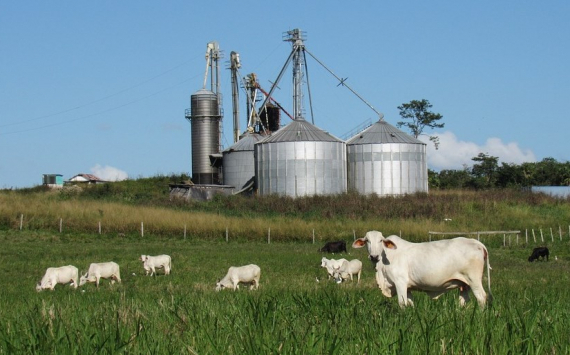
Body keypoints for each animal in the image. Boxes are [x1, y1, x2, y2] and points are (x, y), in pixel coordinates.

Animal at [350, 231, 488, 308]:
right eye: (367, 240)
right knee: (463, 301)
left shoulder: (400, 282)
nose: (374, 256)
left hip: (474, 280)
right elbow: (410, 303)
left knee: (482, 297)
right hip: (464, 284)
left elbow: (402, 303)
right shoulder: (408, 287)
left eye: (380, 240)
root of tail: (477, 243)